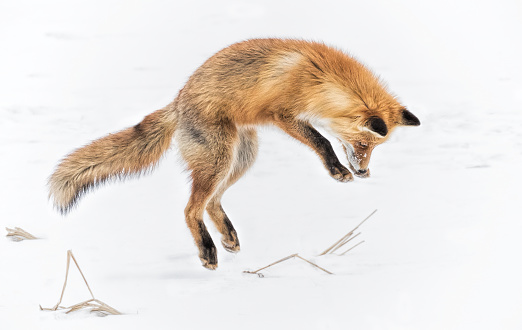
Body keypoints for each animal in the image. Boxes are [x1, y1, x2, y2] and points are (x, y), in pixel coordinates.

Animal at [48, 39, 418, 270]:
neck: (319, 78)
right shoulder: (284, 115)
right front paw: (337, 170)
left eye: (373, 149)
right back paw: (207, 250)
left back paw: (227, 237)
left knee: (212, 202)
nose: (363, 172)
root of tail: (178, 101)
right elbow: (322, 141)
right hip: (220, 159)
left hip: (241, 158)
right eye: (363, 145)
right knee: (191, 209)